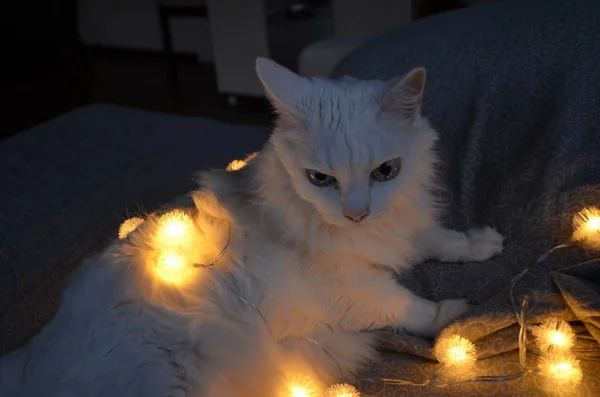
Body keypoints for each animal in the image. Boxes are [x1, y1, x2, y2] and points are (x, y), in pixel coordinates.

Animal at [0, 57, 504, 394]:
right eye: (319, 179)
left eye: (386, 172)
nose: (355, 213)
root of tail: (26, 365)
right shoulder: (352, 293)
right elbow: (411, 307)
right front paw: (457, 317)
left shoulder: (402, 228)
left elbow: (439, 239)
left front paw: (483, 243)